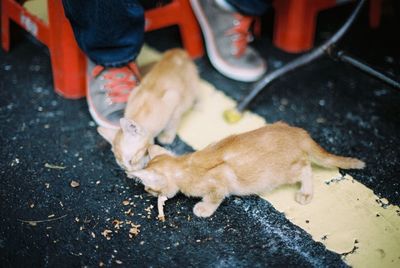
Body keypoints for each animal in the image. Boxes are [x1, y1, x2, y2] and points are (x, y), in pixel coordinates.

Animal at [129, 121, 366, 218]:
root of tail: (298, 132)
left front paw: (203, 209)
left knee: (306, 167)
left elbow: (215, 198)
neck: (185, 165)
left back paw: (306, 192)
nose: (146, 192)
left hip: (283, 172)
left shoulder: (219, 181)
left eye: (149, 188)